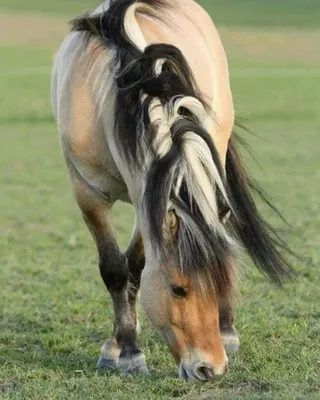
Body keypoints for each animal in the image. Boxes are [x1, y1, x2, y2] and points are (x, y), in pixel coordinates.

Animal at [51, 0, 294, 382]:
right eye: (178, 289)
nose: (211, 368)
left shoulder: (148, 195)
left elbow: (136, 264)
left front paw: (128, 349)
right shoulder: (87, 192)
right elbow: (115, 269)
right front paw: (123, 350)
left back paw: (227, 331)